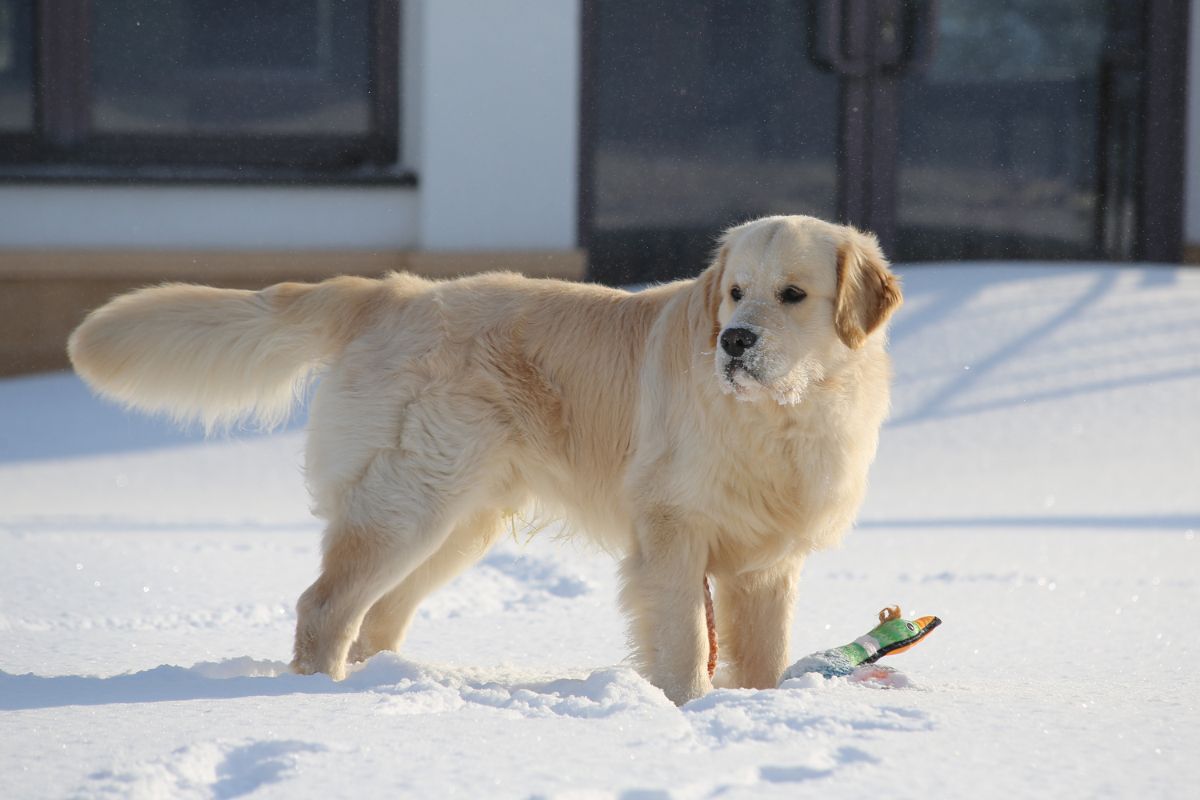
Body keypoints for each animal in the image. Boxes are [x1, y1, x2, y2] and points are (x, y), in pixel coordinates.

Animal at [68, 215, 902, 705]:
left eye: (792, 294)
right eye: (734, 292)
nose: (733, 341)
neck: (779, 419)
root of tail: (392, 292)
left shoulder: (766, 563)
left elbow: (761, 656)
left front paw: (755, 711)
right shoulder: (671, 535)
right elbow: (688, 648)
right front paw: (687, 712)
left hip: (457, 522)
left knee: (378, 617)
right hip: (410, 503)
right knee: (324, 607)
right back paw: (319, 706)